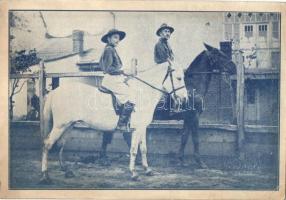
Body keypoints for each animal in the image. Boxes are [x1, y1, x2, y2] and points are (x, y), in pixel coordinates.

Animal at [40, 62, 188, 183]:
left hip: (69, 125)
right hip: (60, 126)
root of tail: (55, 92)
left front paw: (147, 170)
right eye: (179, 78)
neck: (142, 93)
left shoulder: (143, 128)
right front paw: (133, 173)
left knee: (60, 144)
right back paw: (45, 175)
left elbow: (144, 149)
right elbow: (134, 150)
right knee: (47, 144)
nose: (185, 98)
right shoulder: (137, 129)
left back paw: (66, 170)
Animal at [99, 43, 236, 167]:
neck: (192, 86)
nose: (234, 67)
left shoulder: (188, 117)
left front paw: (180, 159)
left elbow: (184, 137)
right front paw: (200, 162)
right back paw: (105, 159)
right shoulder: (194, 116)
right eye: (219, 54)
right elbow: (195, 138)